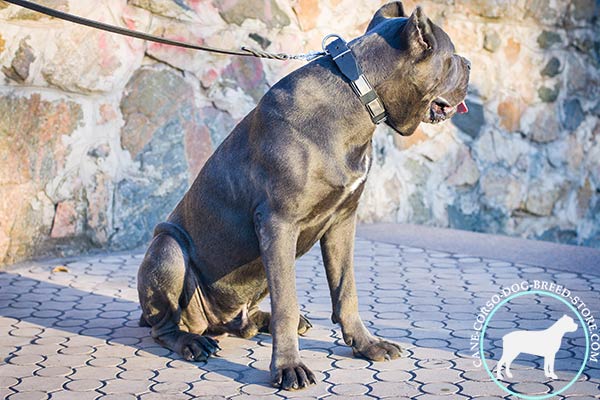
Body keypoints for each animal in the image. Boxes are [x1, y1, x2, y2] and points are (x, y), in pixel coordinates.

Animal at [138, 1, 472, 390]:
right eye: (451, 57)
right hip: (168, 249)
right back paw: (191, 341)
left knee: (244, 321)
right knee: (164, 325)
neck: (356, 96)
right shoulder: (278, 223)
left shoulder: (343, 220)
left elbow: (346, 290)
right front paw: (287, 366)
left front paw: (366, 344)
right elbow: (288, 301)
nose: (469, 64)